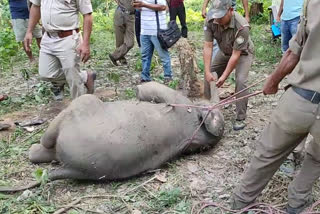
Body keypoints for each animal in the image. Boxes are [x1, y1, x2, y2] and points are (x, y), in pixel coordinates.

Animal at [0, 82, 225, 192]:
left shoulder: (179, 103)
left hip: (79, 112)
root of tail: (76, 169)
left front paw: (139, 88)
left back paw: (33, 150)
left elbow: (148, 87)